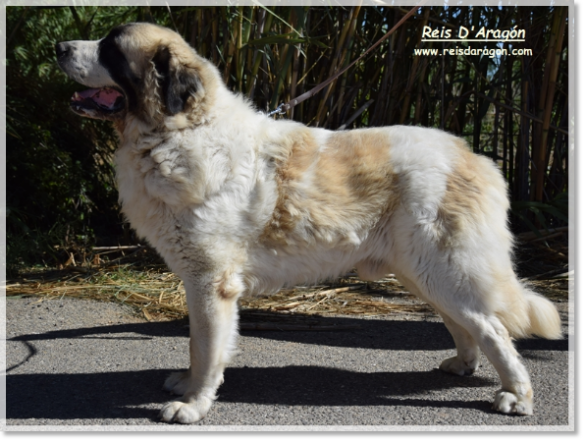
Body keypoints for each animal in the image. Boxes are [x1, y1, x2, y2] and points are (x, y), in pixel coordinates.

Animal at [56, 22, 560, 424]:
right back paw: (463, 364)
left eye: (111, 49)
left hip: (443, 270)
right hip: (422, 273)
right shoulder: (200, 281)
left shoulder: (210, 283)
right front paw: (189, 386)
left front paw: (195, 404)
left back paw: (517, 395)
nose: (59, 46)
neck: (178, 131)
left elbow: (205, 348)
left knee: (493, 328)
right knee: (466, 324)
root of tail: (474, 156)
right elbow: (200, 346)